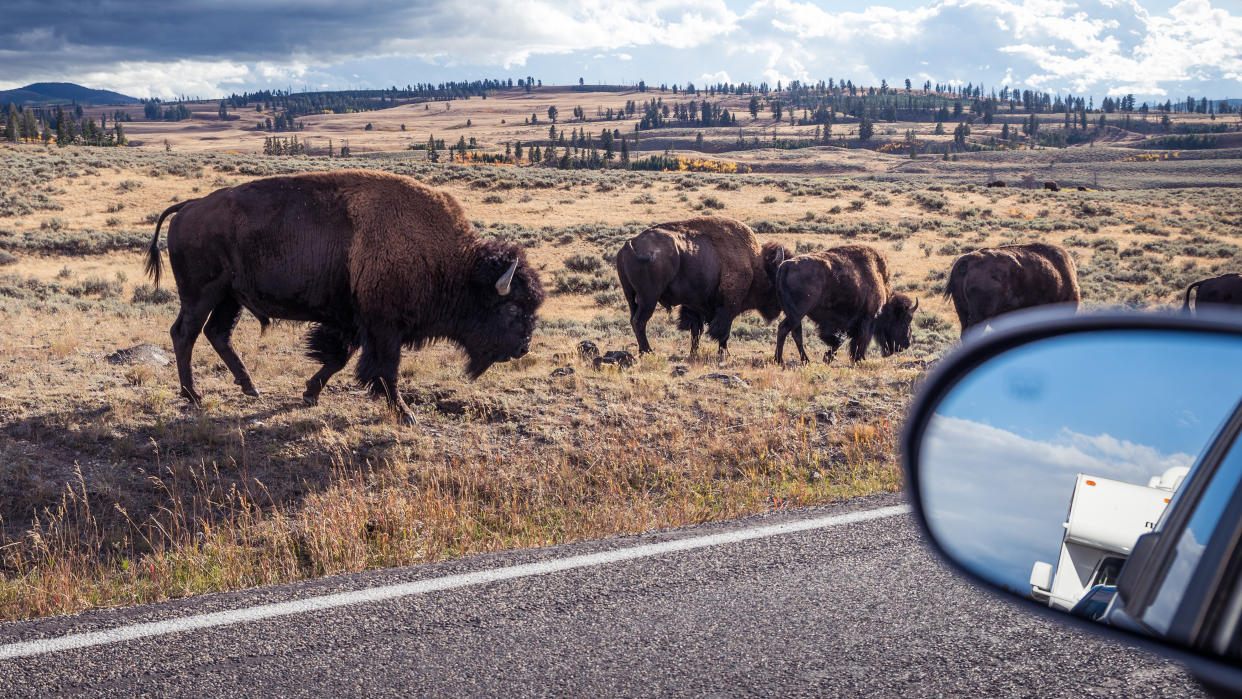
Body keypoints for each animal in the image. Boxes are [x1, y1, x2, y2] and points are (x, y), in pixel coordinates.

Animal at [144, 170, 543, 424]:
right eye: (511, 307)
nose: (523, 348)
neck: (450, 261)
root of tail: (189, 206)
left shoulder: (353, 322)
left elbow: (338, 357)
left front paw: (309, 394)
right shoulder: (383, 327)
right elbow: (385, 369)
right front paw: (406, 415)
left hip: (230, 298)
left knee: (217, 334)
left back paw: (250, 389)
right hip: (201, 295)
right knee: (185, 334)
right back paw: (193, 395)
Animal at [618, 216, 789, 357]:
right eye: (775, 281)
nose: (781, 306)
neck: (754, 263)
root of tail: (629, 244)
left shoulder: (695, 305)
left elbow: (696, 331)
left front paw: (694, 353)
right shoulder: (728, 306)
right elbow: (723, 331)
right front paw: (725, 353)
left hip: (631, 296)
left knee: (634, 320)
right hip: (649, 298)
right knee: (640, 321)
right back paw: (648, 351)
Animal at [775, 244, 924, 367]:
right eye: (905, 320)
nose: (906, 343)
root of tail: (785, 265)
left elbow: (841, 341)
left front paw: (828, 357)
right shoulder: (867, 319)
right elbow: (859, 341)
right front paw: (859, 359)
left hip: (792, 313)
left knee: (790, 331)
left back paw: (787, 360)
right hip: (799, 312)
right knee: (789, 330)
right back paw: (790, 360)